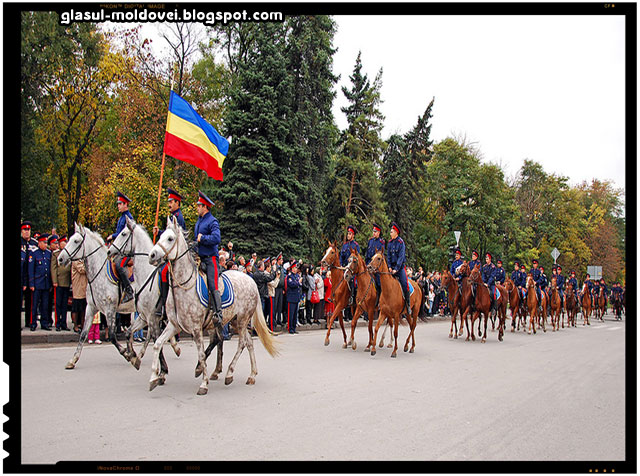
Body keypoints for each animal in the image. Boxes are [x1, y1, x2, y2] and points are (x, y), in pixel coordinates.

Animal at [58, 221, 136, 370]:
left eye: (76, 241)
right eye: (70, 239)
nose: (60, 258)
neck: (98, 272)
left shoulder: (110, 309)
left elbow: (112, 335)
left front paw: (126, 353)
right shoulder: (91, 308)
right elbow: (83, 334)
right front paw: (73, 360)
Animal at [105, 217, 180, 376]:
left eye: (123, 233)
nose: (109, 251)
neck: (146, 273)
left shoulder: (152, 317)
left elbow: (156, 340)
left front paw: (162, 369)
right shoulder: (144, 316)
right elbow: (129, 332)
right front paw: (132, 356)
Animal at [151, 216, 282, 394]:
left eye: (170, 238)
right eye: (161, 236)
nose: (152, 255)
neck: (184, 286)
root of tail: (251, 281)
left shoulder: (196, 328)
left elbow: (201, 354)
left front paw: (203, 383)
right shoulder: (174, 325)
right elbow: (157, 344)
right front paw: (154, 377)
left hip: (242, 320)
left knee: (242, 343)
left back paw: (229, 373)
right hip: (235, 321)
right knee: (248, 342)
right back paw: (252, 375)